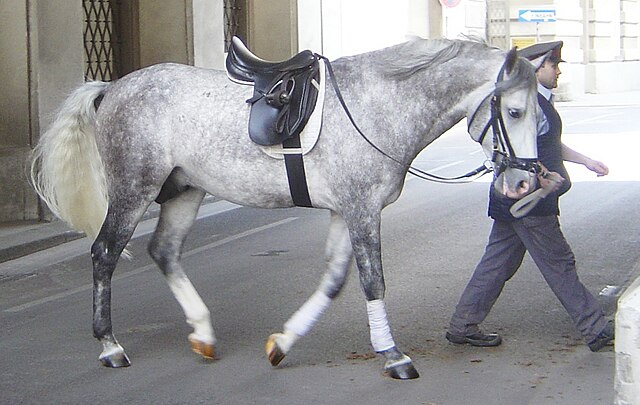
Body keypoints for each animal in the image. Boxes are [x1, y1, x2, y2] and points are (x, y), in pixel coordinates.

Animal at [30, 36, 540, 378]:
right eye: (515, 112)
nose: (523, 181)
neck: (378, 103)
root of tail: (112, 87)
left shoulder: (344, 211)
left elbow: (334, 282)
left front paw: (283, 343)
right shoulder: (361, 209)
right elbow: (372, 281)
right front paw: (393, 354)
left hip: (185, 191)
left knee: (164, 251)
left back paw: (203, 333)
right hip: (134, 190)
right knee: (105, 254)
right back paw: (110, 346)